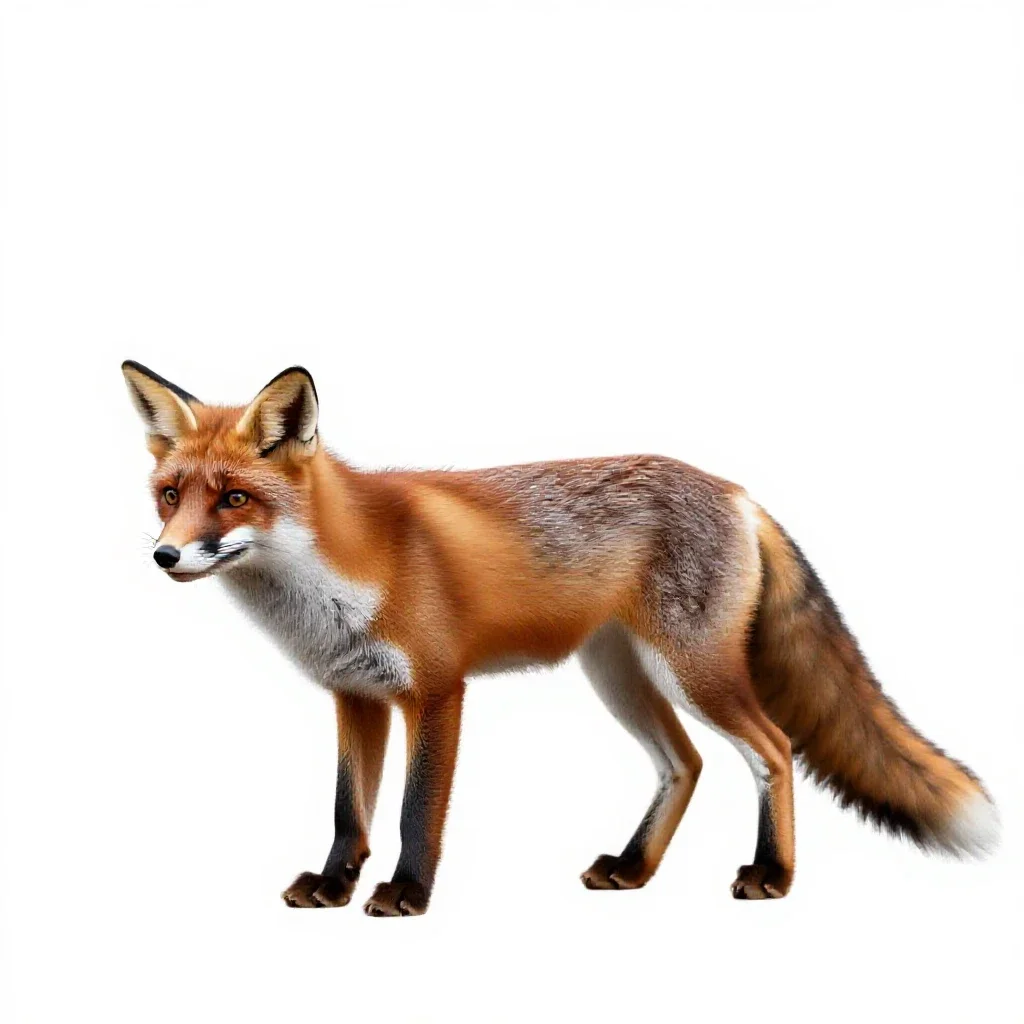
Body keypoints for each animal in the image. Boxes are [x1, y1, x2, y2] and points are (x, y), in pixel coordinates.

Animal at [122, 359, 999, 916]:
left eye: (234, 498)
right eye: (170, 495)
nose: (165, 555)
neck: (338, 573)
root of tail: (737, 491)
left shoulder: (436, 691)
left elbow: (412, 812)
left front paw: (406, 895)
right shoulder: (355, 696)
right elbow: (349, 812)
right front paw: (334, 888)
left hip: (694, 673)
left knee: (775, 750)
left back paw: (772, 875)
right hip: (620, 677)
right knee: (686, 763)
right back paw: (633, 868)